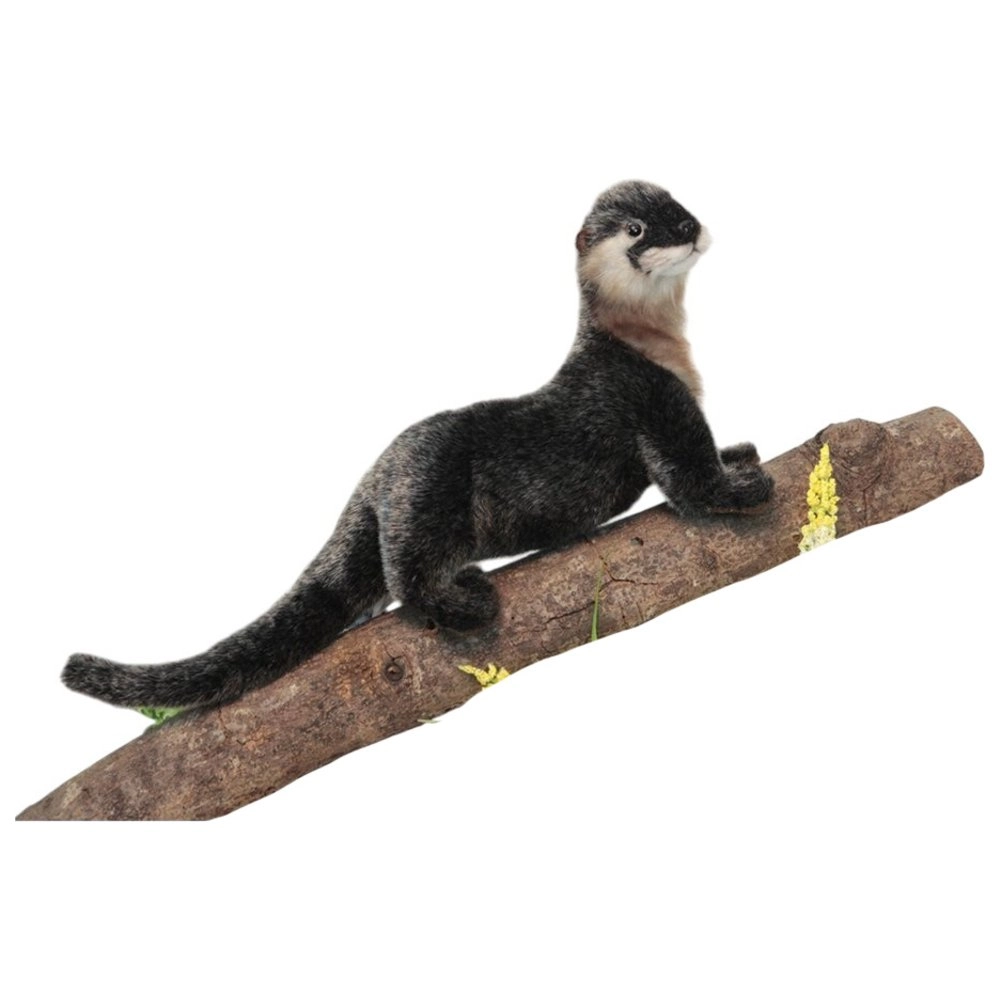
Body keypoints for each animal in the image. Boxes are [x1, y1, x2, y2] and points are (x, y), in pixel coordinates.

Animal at [62, 180, 773, 709]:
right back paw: (467, 598)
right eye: (637, 229)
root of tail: (378, 476)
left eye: (679, 205)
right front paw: (745, 485)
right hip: (429, 493)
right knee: (408, 578)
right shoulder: (650, 402)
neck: (644, 345)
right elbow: (690, 482)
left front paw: (739, 452)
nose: (688, 227)